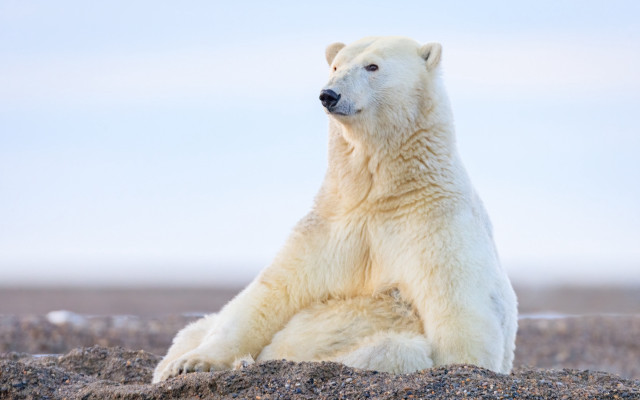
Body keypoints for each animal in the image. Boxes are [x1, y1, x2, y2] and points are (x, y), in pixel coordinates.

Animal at [152, 36, 518, 383]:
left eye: (372, 66)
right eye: (335, 66)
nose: (328, 94)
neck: (383, 194)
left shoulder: (436, 225)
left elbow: (458, 314)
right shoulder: (333, 226)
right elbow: (269, 295)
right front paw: (189, 364)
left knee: (396, 349)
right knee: (197, 327)